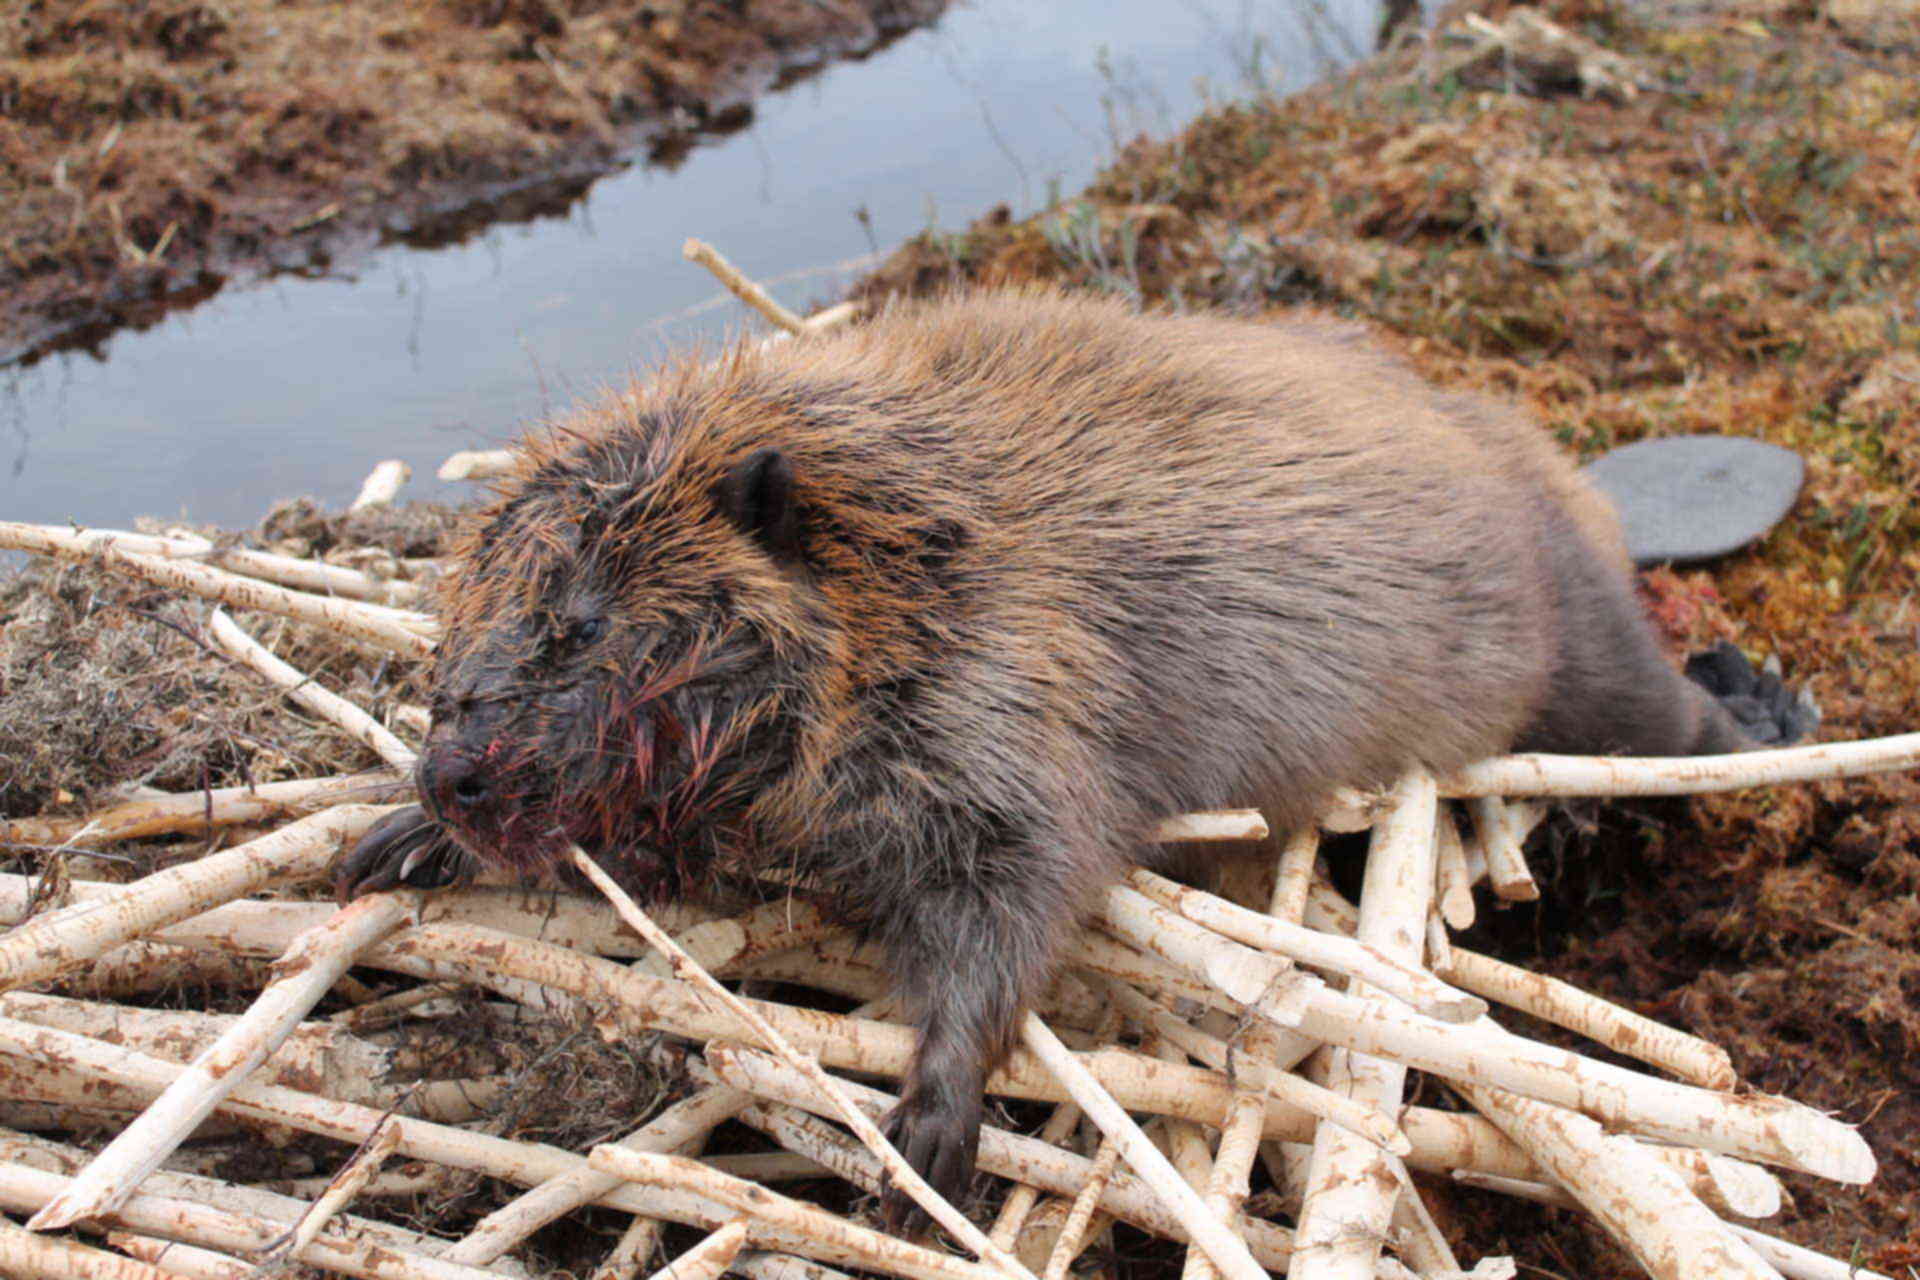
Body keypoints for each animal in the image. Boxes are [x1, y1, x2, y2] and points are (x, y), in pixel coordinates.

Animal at [334, 287, 1812, 1220]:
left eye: (583, 622)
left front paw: (928, 1134)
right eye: (471, 608)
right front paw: (391, 845)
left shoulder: (1014, 696)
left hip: (1573, 640)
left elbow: (1023, 887)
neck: (916, 552)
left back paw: (1765, 709)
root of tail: (1582, 485)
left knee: (1658, 714)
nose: (456, 771)